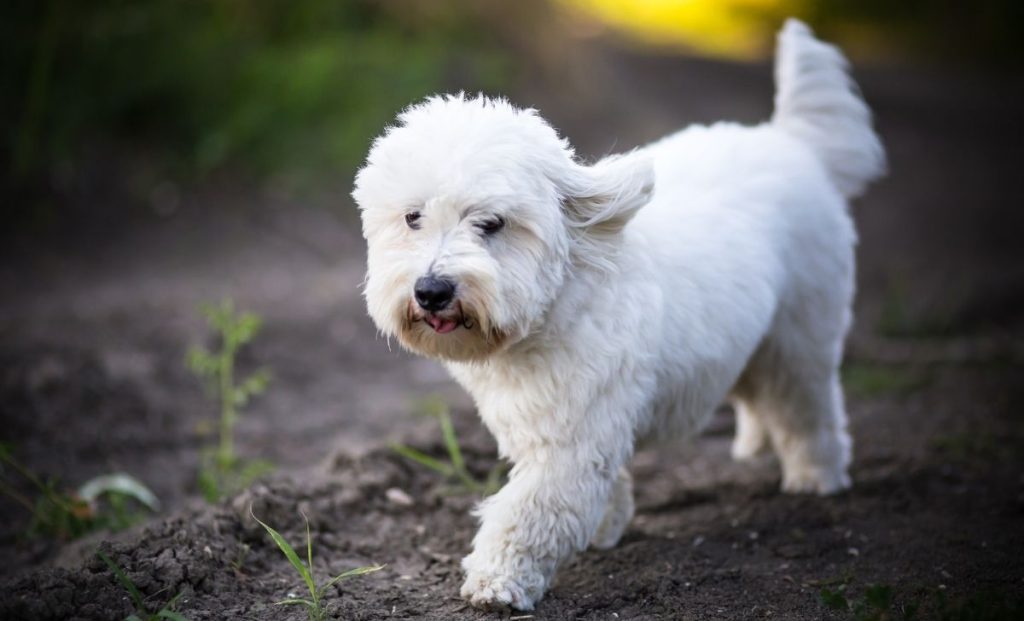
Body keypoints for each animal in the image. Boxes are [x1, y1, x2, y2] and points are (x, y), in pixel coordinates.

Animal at [350, 20, 880, 614]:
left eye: (492, 223)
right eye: (412, 218)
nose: (431, 290)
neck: (558, 301)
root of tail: (790, 142)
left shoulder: (571, 440)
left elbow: (528, 511)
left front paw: (498, 579)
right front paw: (606, 524)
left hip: (801, 337)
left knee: (806, 407)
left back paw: (816, 476)